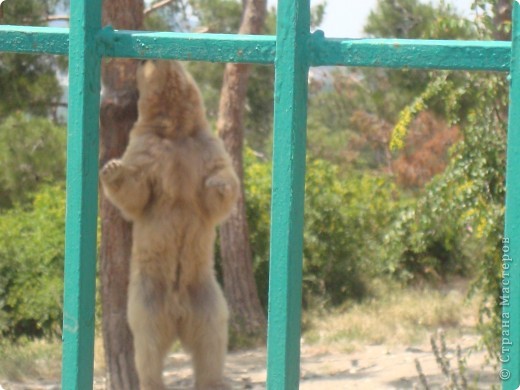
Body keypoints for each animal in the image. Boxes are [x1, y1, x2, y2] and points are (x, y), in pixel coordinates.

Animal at [98, 58, 239, 390]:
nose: (142, 59)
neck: (175, 129)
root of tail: (178, 315)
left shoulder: (203, 146)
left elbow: (220, 178)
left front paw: (219, 185)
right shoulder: (147, 148)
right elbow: (137, 190)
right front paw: (112, 168)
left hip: (208, 302)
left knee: (211, 344)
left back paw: (212, 381)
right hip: (147, 302)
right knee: (147, 350)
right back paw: (154, 381)